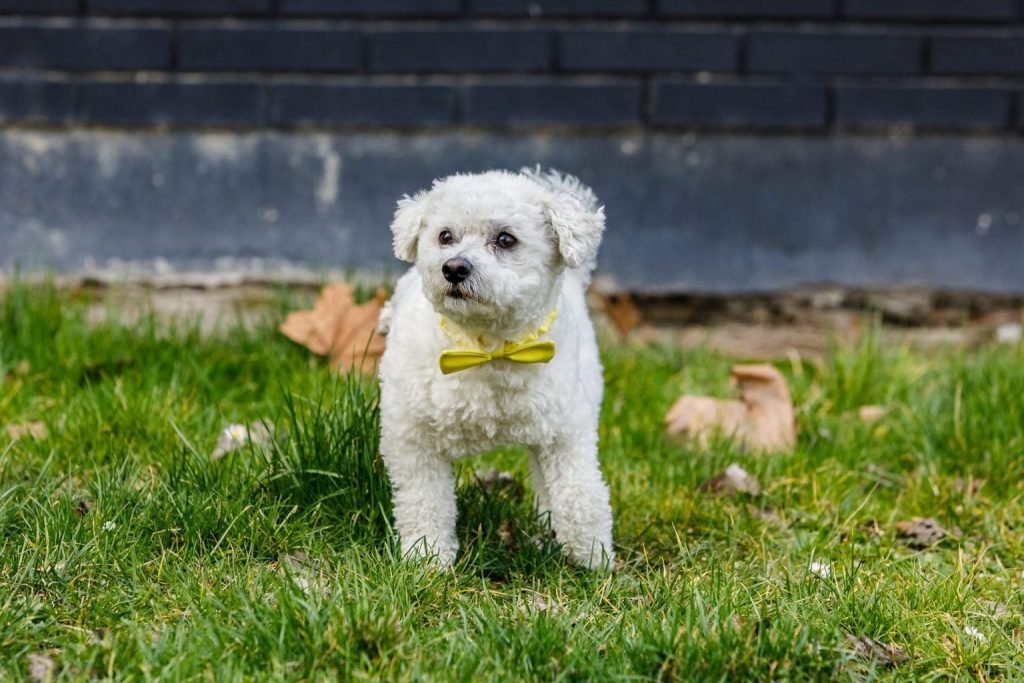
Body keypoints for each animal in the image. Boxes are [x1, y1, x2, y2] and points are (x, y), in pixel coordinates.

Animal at [378, 167, 610, 569]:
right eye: (445, 236)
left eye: (506, 239)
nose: (454, 267)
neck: (488, 347)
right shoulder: (412, 437)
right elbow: (425, 501)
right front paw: (427, 557)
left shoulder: (566, 432)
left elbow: (580, 494)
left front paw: (593, 556)